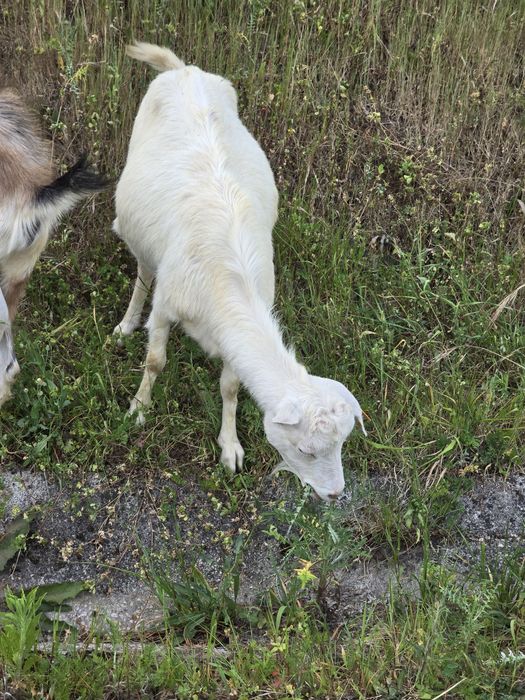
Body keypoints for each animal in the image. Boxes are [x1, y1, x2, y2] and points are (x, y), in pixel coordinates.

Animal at [113, 42, 366, 501]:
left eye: (342, 443)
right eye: (304, 449)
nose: (335, 495)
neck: (228, 283)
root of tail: (184, 70)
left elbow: (230, 387)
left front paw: (230, 447)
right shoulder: (167, 306)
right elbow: (156, 360)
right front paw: (139, 408)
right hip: (137, 229)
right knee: (142, 270)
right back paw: (126, 324)